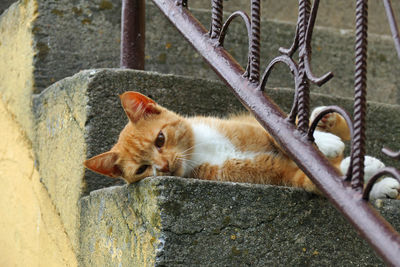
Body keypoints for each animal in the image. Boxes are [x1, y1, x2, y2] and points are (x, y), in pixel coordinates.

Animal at [83, 91, 398, 200]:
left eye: (160, 139)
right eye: (143, 170)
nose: (163, 166)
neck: (201, 150)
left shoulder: (256, 126)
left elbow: (278, 133)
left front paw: (329, 143)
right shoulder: (276, 174)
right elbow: (311, 178)